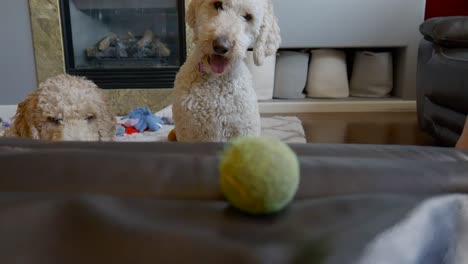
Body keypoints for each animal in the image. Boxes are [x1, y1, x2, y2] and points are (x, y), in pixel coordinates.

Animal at [173, 0, 280, 142]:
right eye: (218, 4)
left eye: (248, 17)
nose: (221, 46)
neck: (216, 79)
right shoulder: (187, 132)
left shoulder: (244, 130)